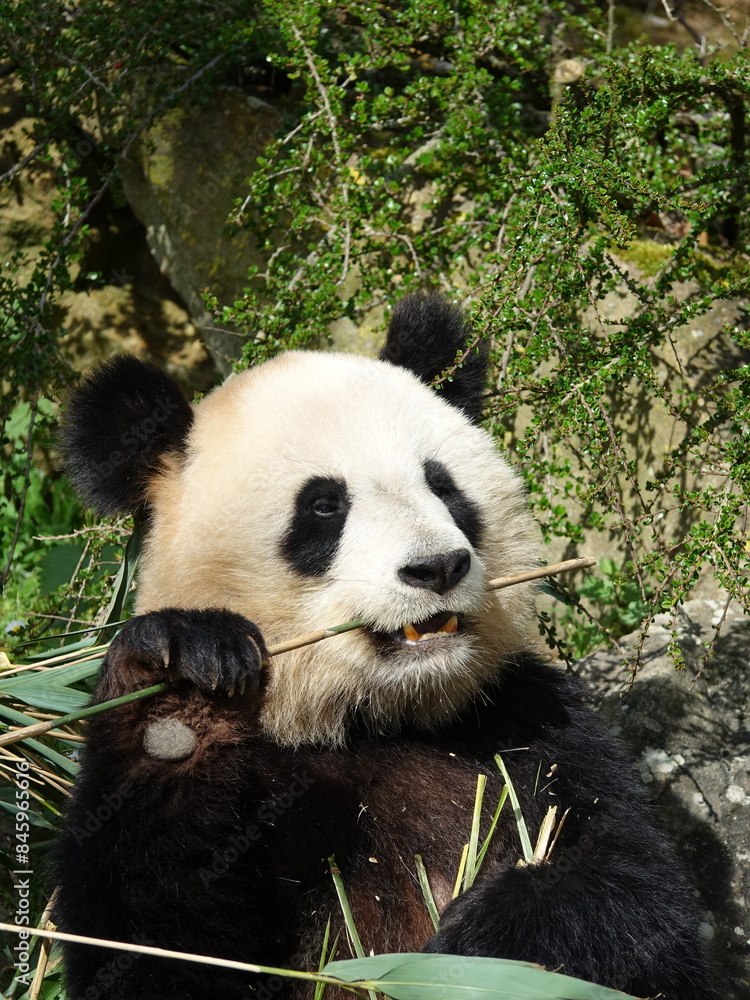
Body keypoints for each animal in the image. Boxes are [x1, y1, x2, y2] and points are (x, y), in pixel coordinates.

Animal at [54, 294, 711, 1000]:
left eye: (443, 486)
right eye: (322, 507)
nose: (437, 568)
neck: (369, 719)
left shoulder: (529, 722)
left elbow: (636, 894)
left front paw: (478, 949)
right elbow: (151, 945)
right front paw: (186, 688)